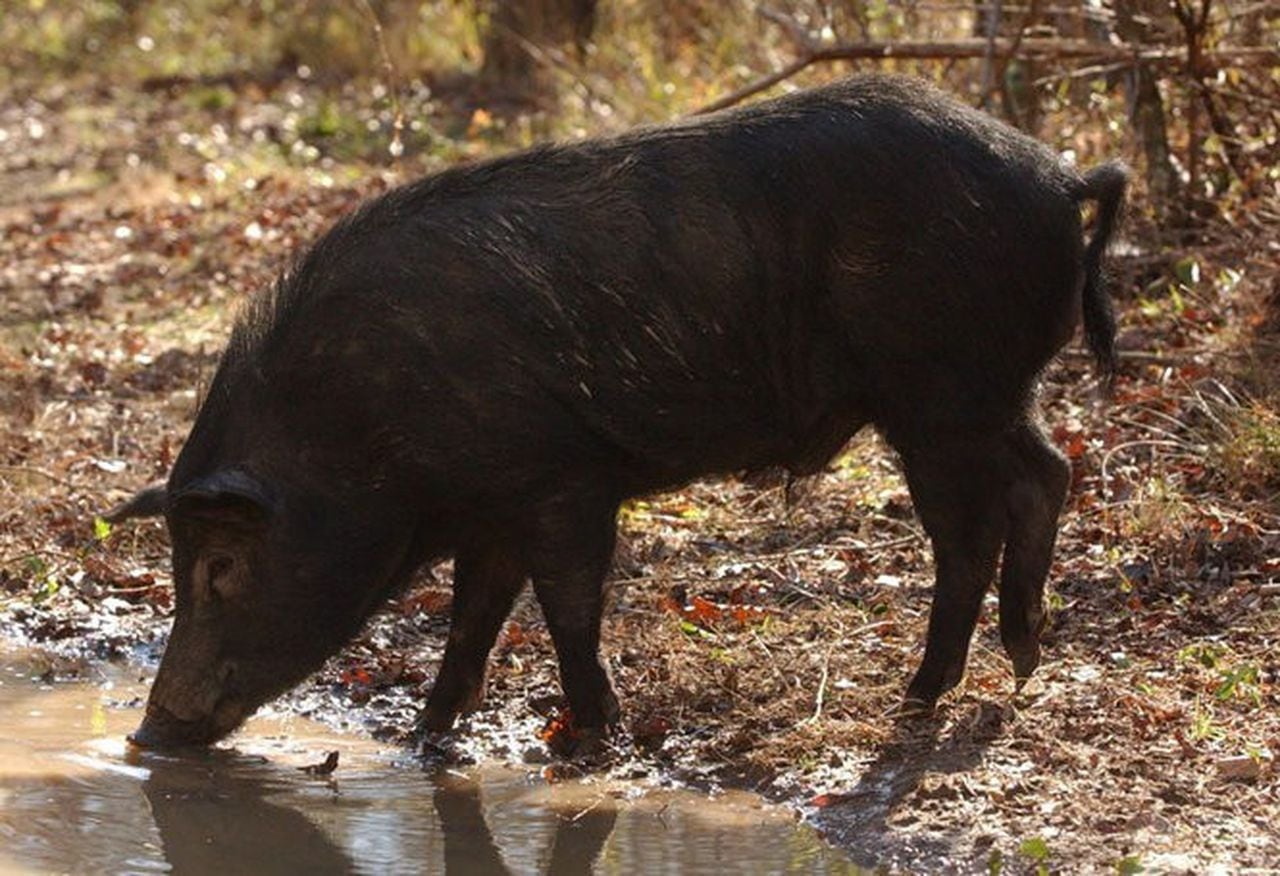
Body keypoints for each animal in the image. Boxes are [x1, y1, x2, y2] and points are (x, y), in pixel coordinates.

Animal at [112, 71, 1131, 747]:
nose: (147, 733)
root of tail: (1060, 177)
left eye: (220, 567)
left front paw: (596, 738)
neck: (358, 423)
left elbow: (567, 604)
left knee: (970, 532)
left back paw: (918, 701)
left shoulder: (562, 478)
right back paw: (1021, 657)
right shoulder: (494, 504)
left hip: (939, 396)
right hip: (992, 393)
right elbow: (475, 613)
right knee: (1049, 472)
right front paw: (427, 740)